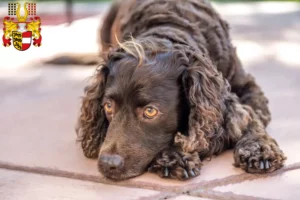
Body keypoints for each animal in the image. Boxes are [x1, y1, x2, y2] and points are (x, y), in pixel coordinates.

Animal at [69, 0, 286, 180]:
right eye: (108, 106)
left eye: (150, 111)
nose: (108, 164)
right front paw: (175, 155)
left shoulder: (248, 88)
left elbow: (251, 118)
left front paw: (259, 149)